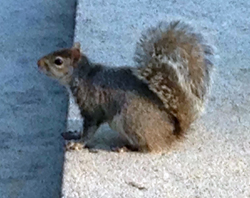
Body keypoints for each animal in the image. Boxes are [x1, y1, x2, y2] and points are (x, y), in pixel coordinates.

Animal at [38, 20, 214, 153]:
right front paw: (74, 134)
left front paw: (78, 143)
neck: (83, 75)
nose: (38, 63)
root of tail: (171, 134)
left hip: (131, 121)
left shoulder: (92, 108)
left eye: (58, 61)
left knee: (148, 147)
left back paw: (126, 148)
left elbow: (89, 129)